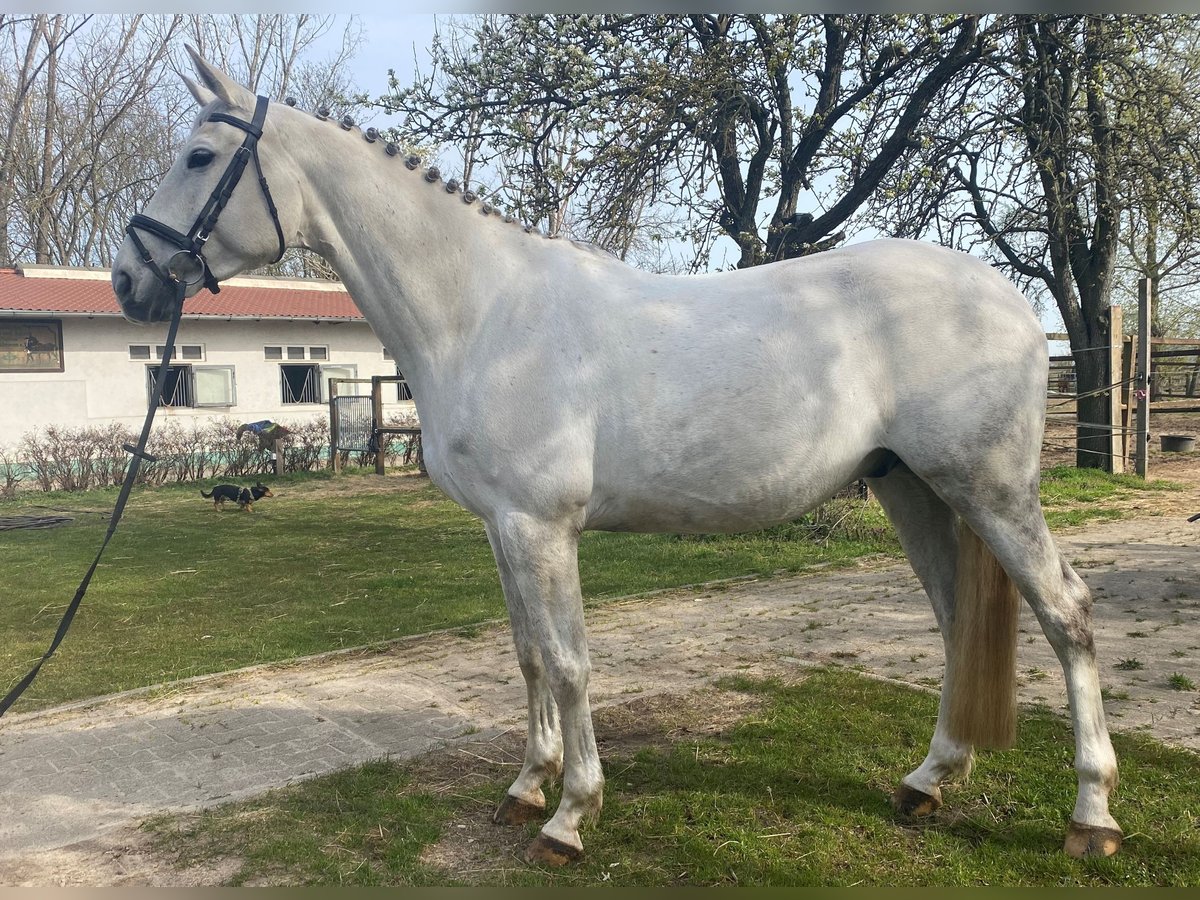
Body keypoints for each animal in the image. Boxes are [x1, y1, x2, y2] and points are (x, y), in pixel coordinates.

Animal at [112, 52, 1123, 868]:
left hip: (989, 489)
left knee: (1067, 613)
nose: (128, 280)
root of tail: (1009, 299)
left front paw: (571, 817)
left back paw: (1091, 817)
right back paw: (927, 781)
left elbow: (567, 662)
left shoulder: (540, 526)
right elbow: (526, 655)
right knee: (958, 620)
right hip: (912, 489)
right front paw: (527, 787)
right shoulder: (503, 530)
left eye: (200, 158)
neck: (484, 312)